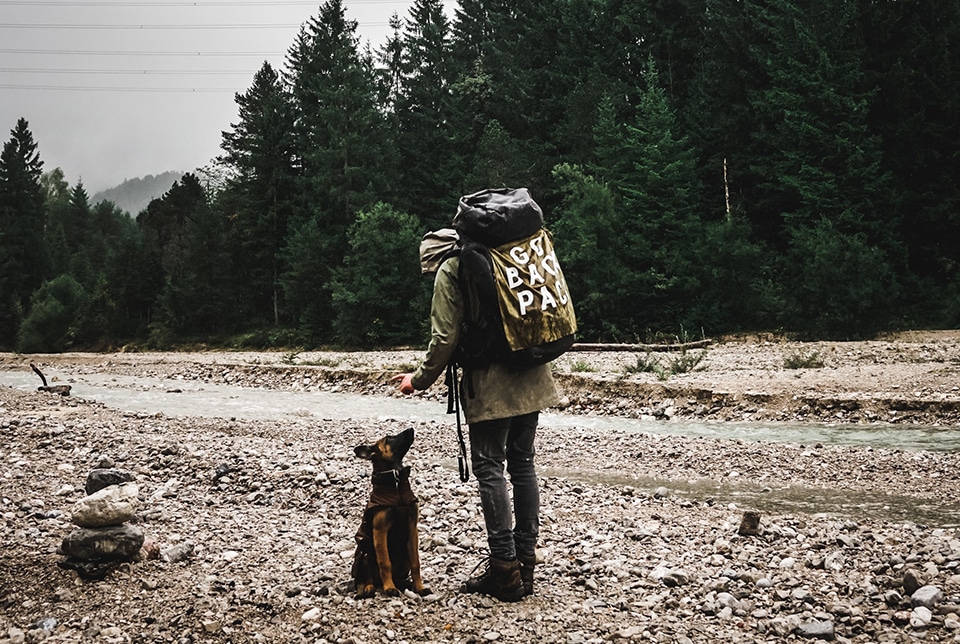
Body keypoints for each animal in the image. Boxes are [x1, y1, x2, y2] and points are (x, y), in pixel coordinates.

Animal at [350, 428, 430, 600]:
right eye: (389, 438)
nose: (411, 428)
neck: (396, 482)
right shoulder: (380, 531)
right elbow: (385, 563)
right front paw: (389, 588)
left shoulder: (412, 529)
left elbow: (416, 563)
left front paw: (419, 587)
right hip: (366, 552)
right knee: (367, 579)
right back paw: (370, 587)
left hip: (402, 557)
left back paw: (403, 583)